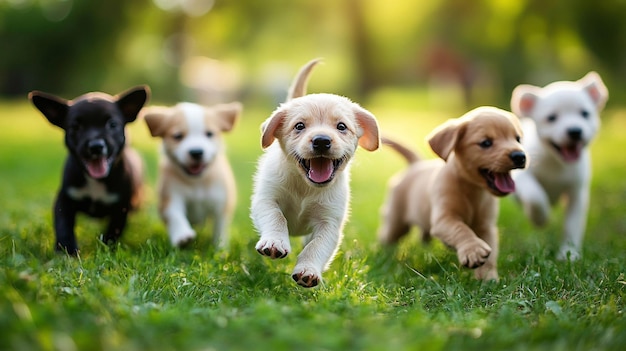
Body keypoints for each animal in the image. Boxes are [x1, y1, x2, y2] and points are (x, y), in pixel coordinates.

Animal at [28, 85, 149, 256]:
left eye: (112, 124)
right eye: (75, 127)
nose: (96, 146)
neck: (95, 181)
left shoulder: (121, 207)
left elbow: (114, 230)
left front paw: (106, 247)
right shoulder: (64, 201)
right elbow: (63, 225)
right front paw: (67, 250)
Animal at [143, 102, 241, 249]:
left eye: (209, 134)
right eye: (178, 136)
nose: (196, 152)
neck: (197, 182)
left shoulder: (221, 202)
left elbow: (220, 227)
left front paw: (220, 248)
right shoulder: (171, 195)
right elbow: (175, 214)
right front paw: (182, 236)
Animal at [250, 58, 380, 288]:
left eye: (341, 127)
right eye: (299, 126)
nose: (321, 140)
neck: (305, 187)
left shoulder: (329, 223)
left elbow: (316, 246)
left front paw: (308, 270)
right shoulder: (266, 200)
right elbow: (277, 217)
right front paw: (275, 242)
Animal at [378, 107, 524, 280]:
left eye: (518, 139)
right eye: (486, 143)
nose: (520, 156)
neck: (472, 190)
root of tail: (416, 164)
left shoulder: (486, 227)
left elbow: (491, 255)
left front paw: (488, 278)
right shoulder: (444, 219)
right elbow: (461, 229)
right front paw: (473, 250)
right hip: (396, 221)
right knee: (386, 235)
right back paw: (381, 254)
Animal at [510, 71, 608, 262]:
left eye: (585, 113)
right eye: (551, 118)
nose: (575, 131)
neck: (557, 162)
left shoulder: (577, 193)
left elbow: (572, 225)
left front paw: (569, 254)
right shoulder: (521, 176)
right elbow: (534, 196)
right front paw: (540, 218)